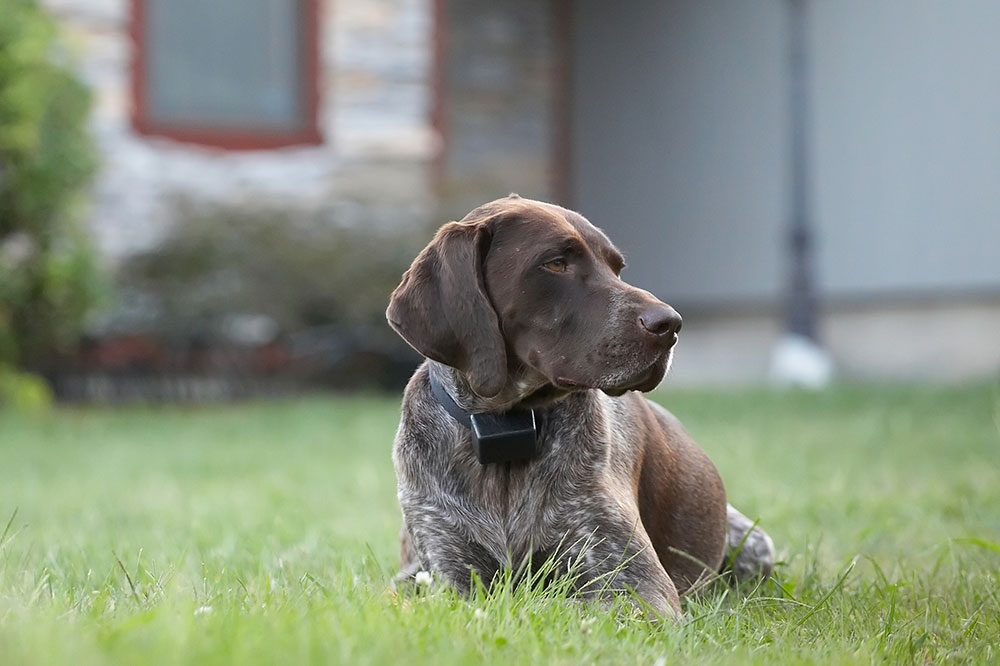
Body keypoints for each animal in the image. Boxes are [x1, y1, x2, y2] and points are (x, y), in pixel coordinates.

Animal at [384, 193, 772, 616]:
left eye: (617, 268)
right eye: (555, 263)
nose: (670, 324)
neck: (507, 430)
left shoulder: (636, 586)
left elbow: (556, 602)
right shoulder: (452, 581)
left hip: (754, 546)